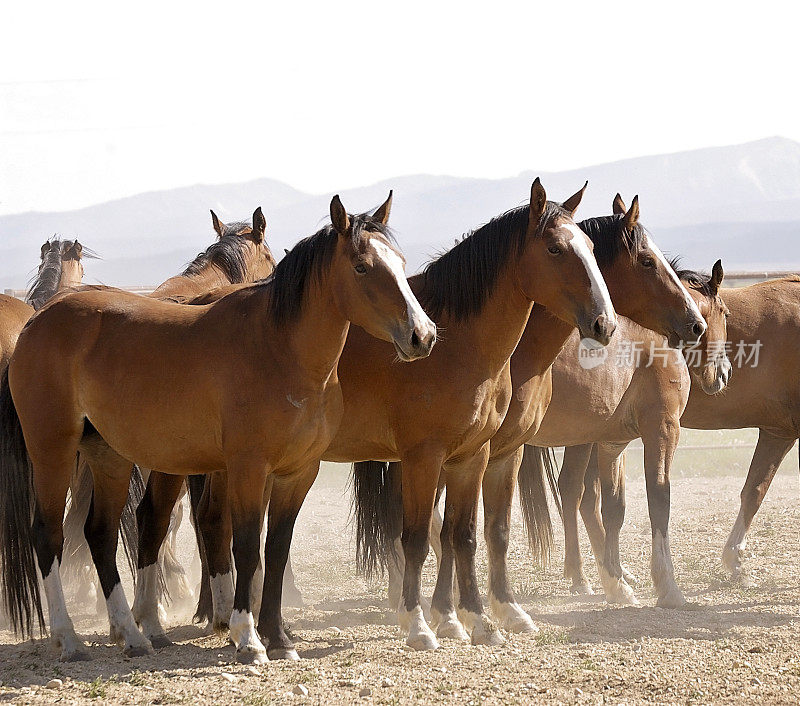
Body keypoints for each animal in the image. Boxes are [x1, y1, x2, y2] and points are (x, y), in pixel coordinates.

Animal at [191, 177, 616, 648]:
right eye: (556, 249)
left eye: (591, 248)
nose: (605, 323)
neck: (460, 343)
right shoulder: (423, 457)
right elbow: (416, 539)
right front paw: (420, 624)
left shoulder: (476, 456)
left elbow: (469, 536)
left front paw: (481, 619)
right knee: (215, 521)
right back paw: (227, 617)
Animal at [520, 258, 732, 604]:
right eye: (725, 313)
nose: (724, 373)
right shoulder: (663, 430)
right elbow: (659, 498)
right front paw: (666, 585)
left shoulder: (612, 442)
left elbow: (613, 508)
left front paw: (615, 579)